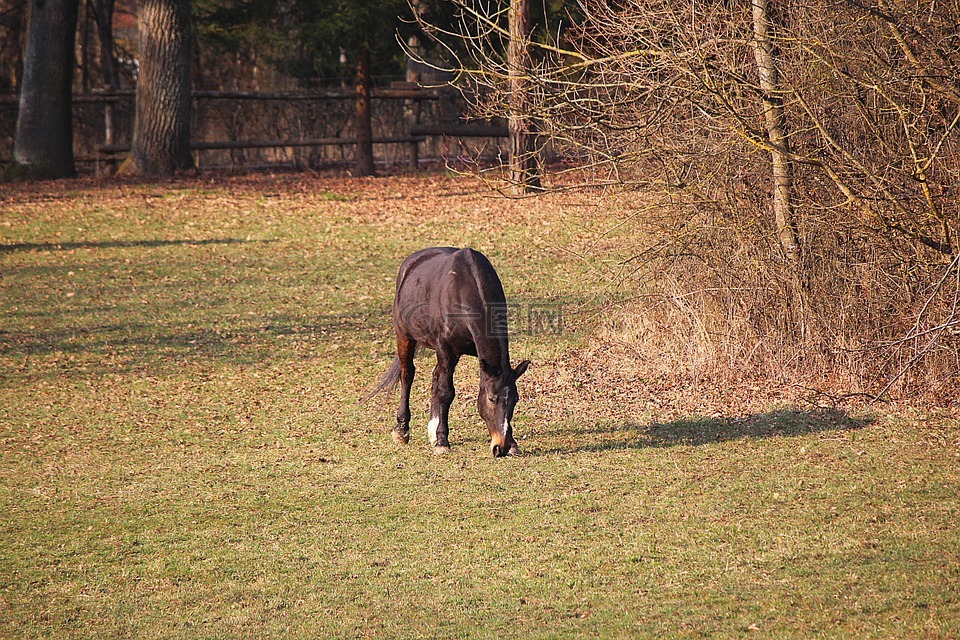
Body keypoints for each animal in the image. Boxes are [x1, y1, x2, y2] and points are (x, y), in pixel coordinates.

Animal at [366, 247, 530, 457]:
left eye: (515, 400)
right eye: (492, 399)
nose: (500, 447)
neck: (464, 289)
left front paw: (513, 444)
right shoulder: (446, 350)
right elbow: (446, 392)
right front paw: (442, 441)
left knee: (435, 377)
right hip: (404, 336)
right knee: (407, 374)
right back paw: (402, 430)